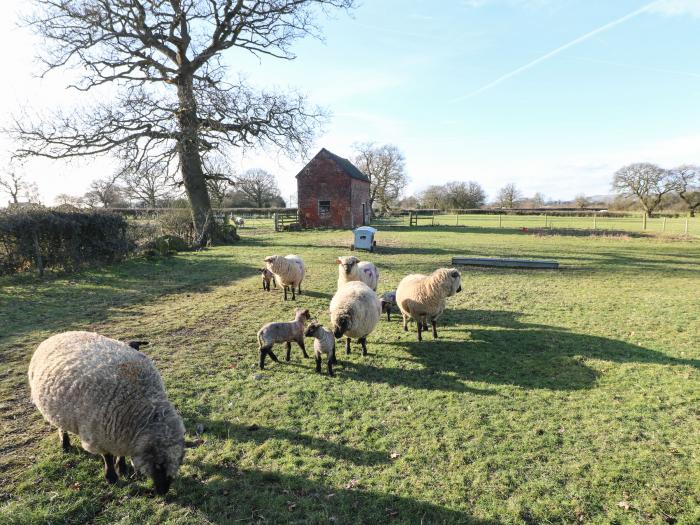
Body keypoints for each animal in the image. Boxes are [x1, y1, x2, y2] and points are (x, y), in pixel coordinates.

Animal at [27, 332, 186, 496]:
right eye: (158, 465)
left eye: (180, 462)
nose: (163, 491)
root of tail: (57, 335)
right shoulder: (100, 434)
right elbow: (107, 457)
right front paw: (111, 477)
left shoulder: (120, 434)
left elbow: (120, 453)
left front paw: (122, 468)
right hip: (58, 412)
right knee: (61, 427)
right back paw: (65, 444)